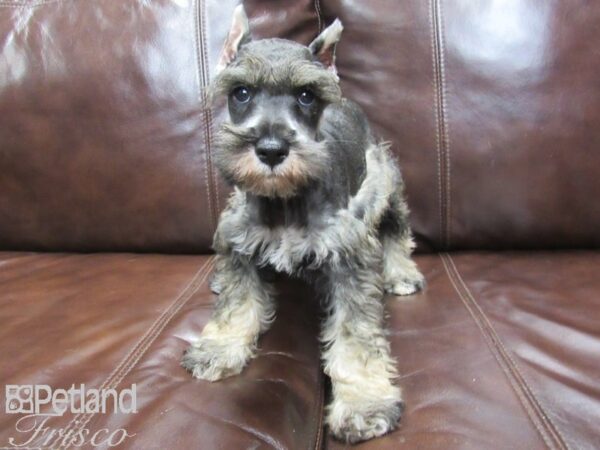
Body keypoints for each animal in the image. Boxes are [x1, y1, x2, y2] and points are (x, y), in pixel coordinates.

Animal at [182, 5, 422, 444]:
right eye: (241, 92)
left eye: (306, 96)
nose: (271, 149)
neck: (284, 202)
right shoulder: (237, 242)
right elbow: (237, 303)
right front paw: (219, 347)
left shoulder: (350, 261)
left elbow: (356, 336)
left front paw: (364, 404)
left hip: (386, 183)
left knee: (397, 230)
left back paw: (401, 274)